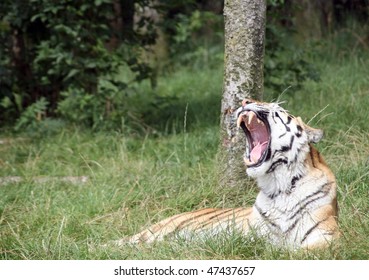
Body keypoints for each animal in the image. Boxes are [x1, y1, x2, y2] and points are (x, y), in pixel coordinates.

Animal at [113, 99, 340, 249]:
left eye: (276, 109)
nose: (247, 100)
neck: (279, 185)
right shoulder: (252, 236)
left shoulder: (328, 236)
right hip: (151, 234)